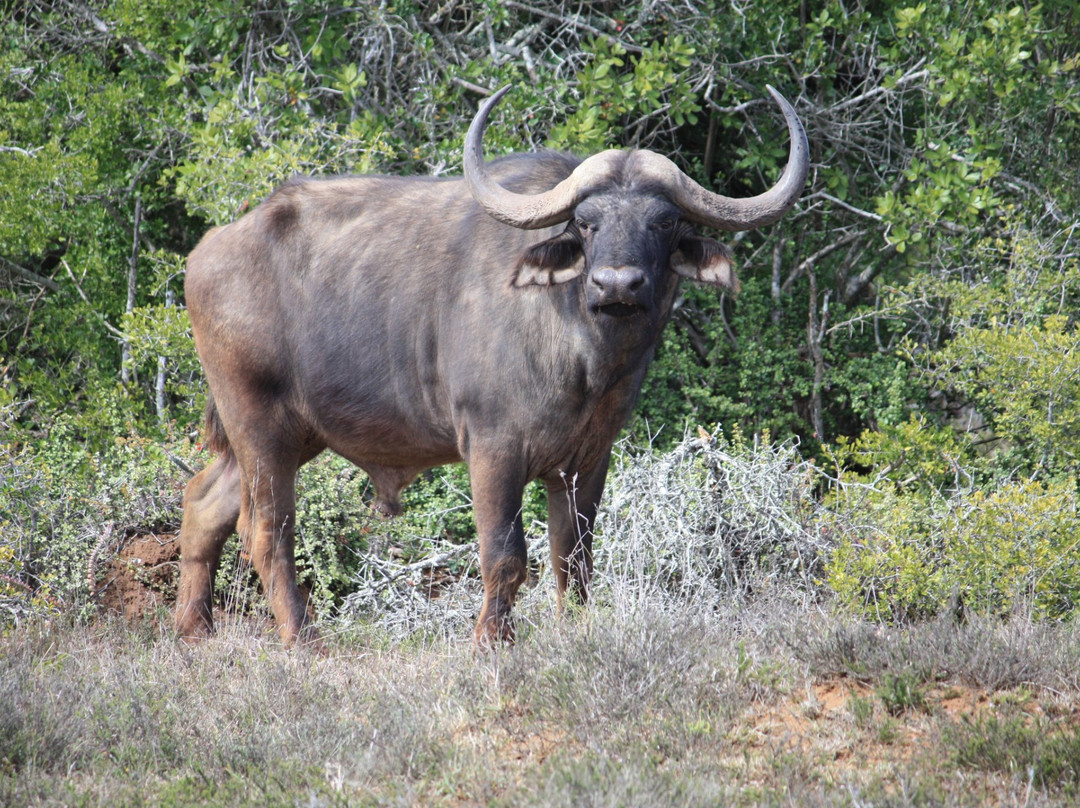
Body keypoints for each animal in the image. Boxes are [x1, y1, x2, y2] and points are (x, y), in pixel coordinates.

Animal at [174, 85, 803, 648]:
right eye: (586, 221)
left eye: (664, 221)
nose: (617, 284)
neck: (581, 355)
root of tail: (210, 250)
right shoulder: (493, 448)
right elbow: (506, 554)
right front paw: (491, 639)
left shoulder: (587, 460)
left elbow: (573, 555)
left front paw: (575, 629)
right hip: (257, 422)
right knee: (267, 529)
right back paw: (301, 636)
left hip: (292, 432)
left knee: (205, 504)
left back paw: (193, 628)